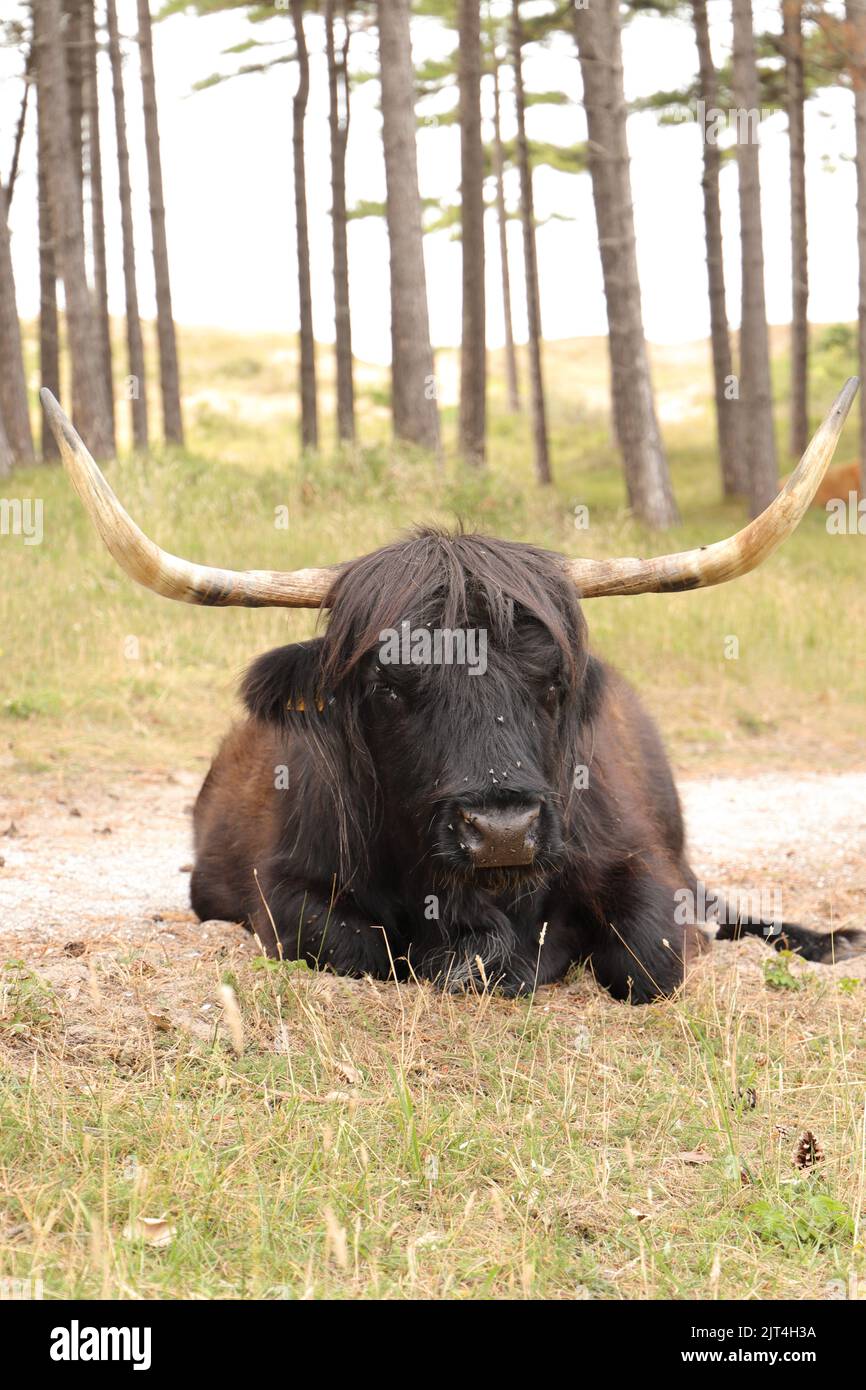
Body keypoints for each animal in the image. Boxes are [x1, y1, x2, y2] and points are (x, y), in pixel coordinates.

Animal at [42, 382, 864, 1001]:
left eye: (552, 680)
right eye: (387, 685)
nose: (501, 827)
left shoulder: (648, 867)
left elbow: (649, 955)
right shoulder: (282, 890)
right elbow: (363, 946)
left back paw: (835, 939)